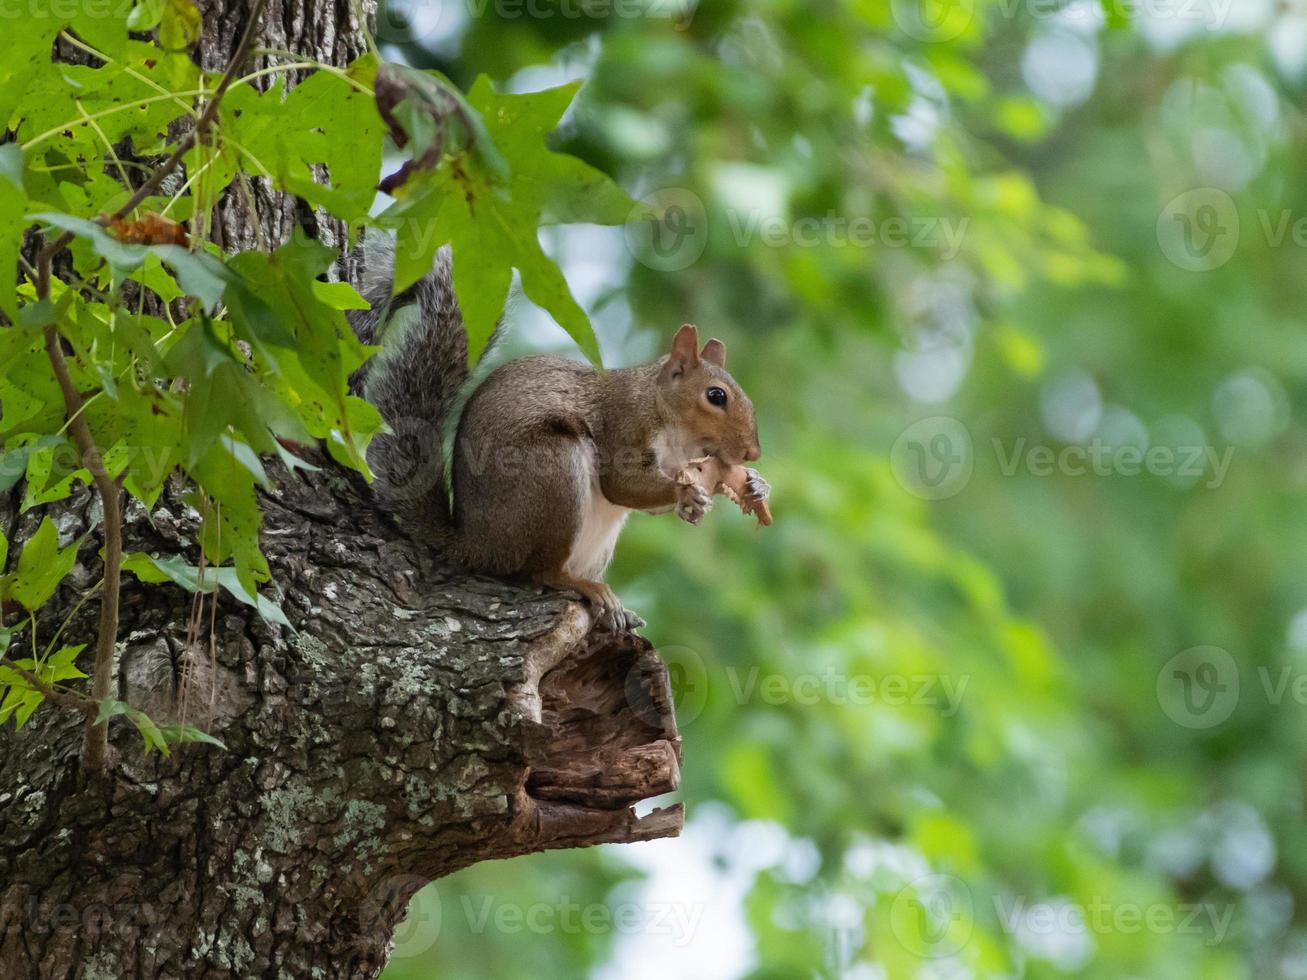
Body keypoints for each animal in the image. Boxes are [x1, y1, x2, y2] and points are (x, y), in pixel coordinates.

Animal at [347, 241, 768, 632]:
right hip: (552, 474)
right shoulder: (623, 426)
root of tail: (477, 546)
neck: (669, 424)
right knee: (540, 572)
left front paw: (753, 486)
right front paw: (684, 492)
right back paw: (586, 587)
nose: (752, 453)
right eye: (716, 396)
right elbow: (622, 485)